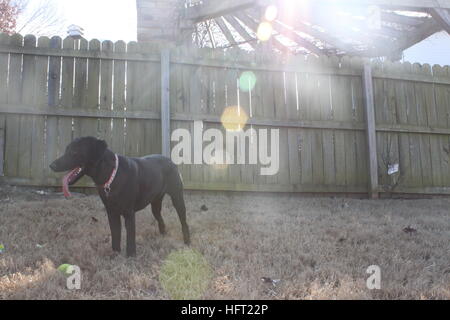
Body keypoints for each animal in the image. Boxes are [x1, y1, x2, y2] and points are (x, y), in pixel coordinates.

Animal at [49, 136, 190, 256]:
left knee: (184, 221)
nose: (51, 165)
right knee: (160, 218)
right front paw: (115, 254)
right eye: (67, 149)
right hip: (155, 203)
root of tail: (170, 161)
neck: (112, 175)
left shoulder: (129, 213)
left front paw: (131, 256)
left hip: (177, 198)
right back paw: (163, 234)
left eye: (74, 151)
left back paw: (187, 241)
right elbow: (115, 234)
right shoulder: (112, 213)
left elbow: (130, 237)